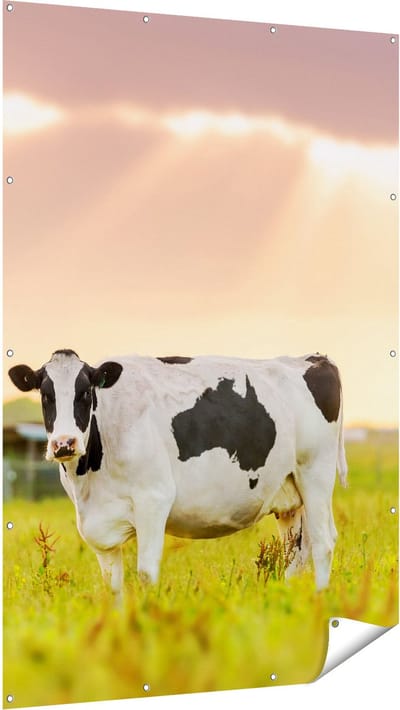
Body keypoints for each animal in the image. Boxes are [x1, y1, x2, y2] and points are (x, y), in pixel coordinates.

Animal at [9, 349, 347, 601]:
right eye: (45, 395)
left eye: (85, 392)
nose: (64, 443)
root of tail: (313, 358)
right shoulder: (98, 525)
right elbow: (112, 586)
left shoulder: (153, 499)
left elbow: (146, 574)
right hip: (289, 493)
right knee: (296, 552)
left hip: (315, 472)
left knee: (323, 542)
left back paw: (319, 600)